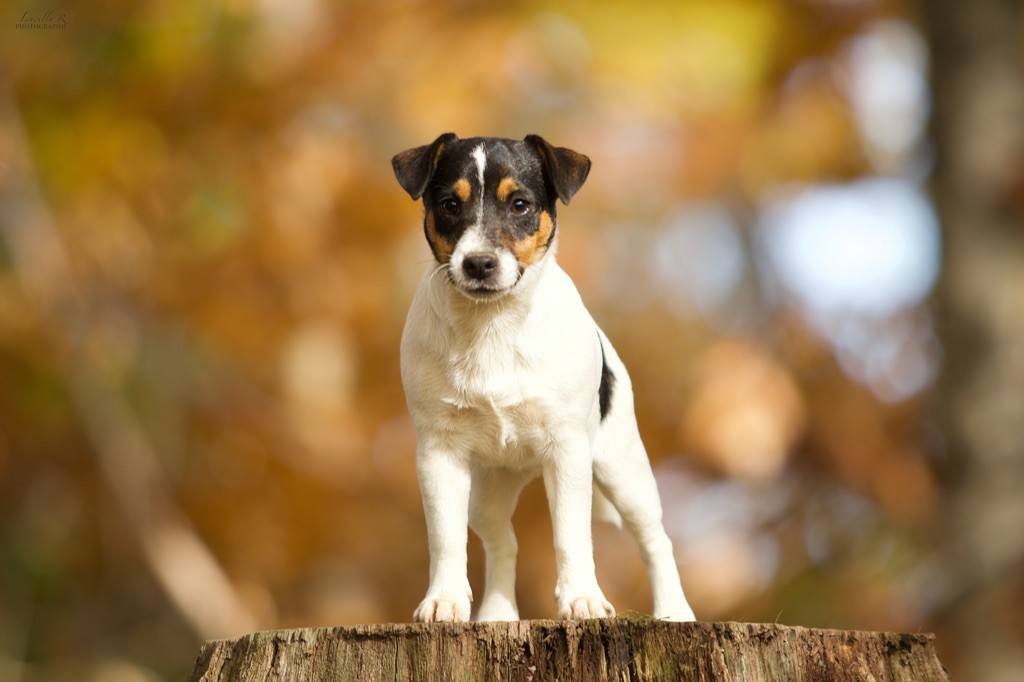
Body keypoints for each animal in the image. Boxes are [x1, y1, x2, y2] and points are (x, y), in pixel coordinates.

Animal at [391, 133, 696, 622]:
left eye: (520, 204)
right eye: (449, 204)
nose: (478, 263)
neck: (493, 325)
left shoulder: (568, 451)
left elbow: (571, 535)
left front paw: (583, 599)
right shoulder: (439, 454)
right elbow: (444, 538)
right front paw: (444, 600)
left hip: (624, 472)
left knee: (654, 539)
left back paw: (675, 611)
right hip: (485, 493)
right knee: (503, 543)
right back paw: (497, 614)